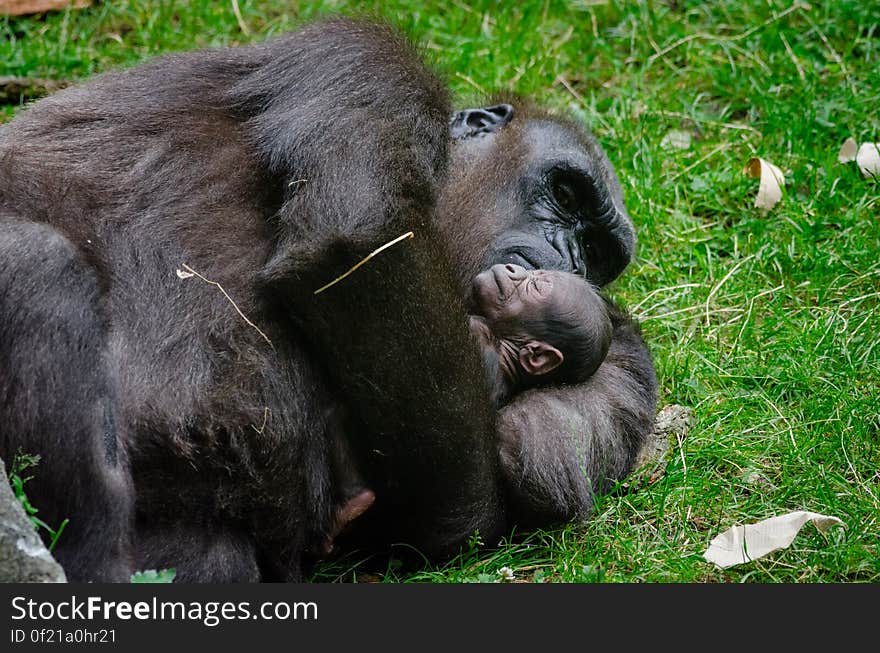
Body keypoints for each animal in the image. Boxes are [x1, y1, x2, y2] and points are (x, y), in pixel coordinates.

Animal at [318, 264, 612, 556]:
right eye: (534, 275)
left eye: (536, 286)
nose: (513, 269)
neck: (503, 344)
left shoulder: (481, 339)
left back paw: (354, 504)